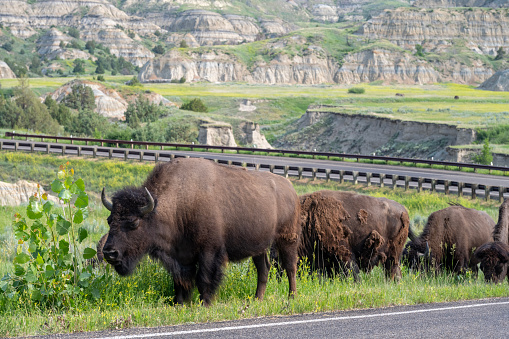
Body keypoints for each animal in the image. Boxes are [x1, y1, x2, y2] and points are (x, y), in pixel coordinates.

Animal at [100, 158, 300, 306]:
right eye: (109, 220)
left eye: (134, 222)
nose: (109, 253)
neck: (178, 202)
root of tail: (290, 187)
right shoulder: (180, 256)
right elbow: (180, 281)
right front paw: (180, 303)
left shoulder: (209, 252)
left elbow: (204, 279)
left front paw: (205, 303)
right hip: (259, 246)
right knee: (263, 268)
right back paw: (258, 299)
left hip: (287, 238)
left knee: (290, 267)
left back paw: (291, 297)